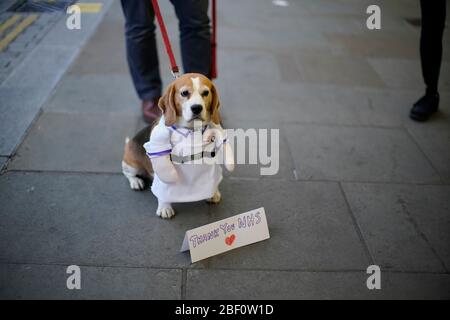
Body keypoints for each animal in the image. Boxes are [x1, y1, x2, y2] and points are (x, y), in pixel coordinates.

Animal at [123, 73, 236, 219]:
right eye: (184, 93)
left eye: (206, 93)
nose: (197, 108)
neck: (191, 130)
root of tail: (129, 142)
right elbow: (163, 189)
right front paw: (165, 207)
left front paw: (212, 193)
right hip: (132, 166)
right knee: (128, 174)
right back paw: (136, 182)